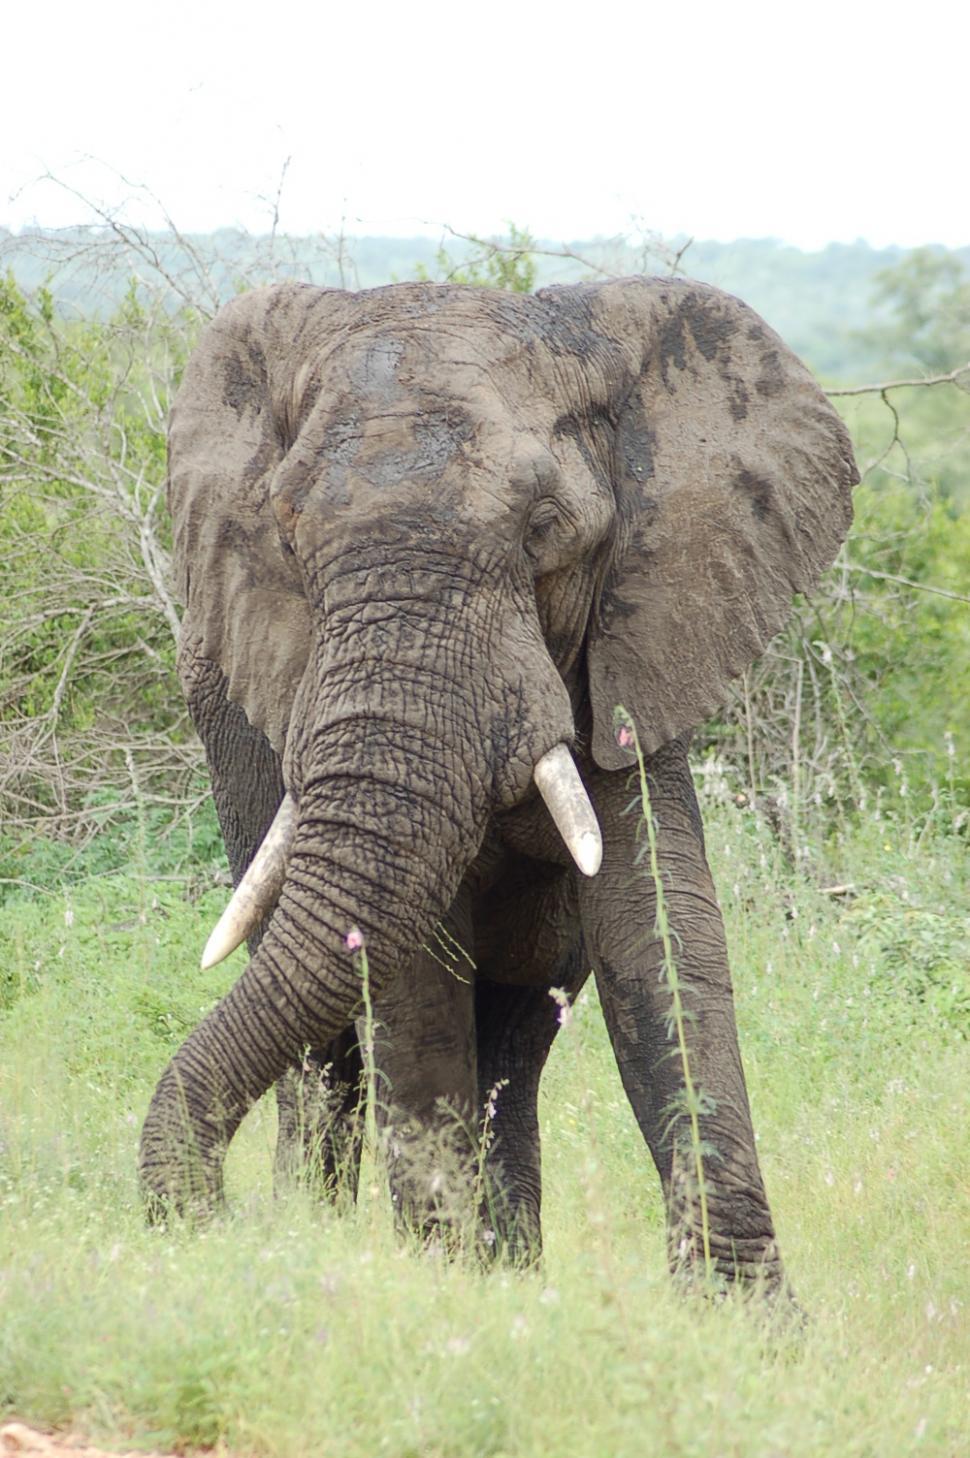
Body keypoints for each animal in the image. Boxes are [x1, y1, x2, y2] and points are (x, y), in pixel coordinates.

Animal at [139, 275, 858, 1290]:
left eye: (547, 530)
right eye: (287, 531)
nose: (195, 1216)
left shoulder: (636, 637)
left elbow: (659, 930)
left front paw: (743, 1315)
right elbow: (412, 975)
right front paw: (446, 1291)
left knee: (514, 1041)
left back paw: (509, 1265)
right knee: (331, 1046)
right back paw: (318, 1234)